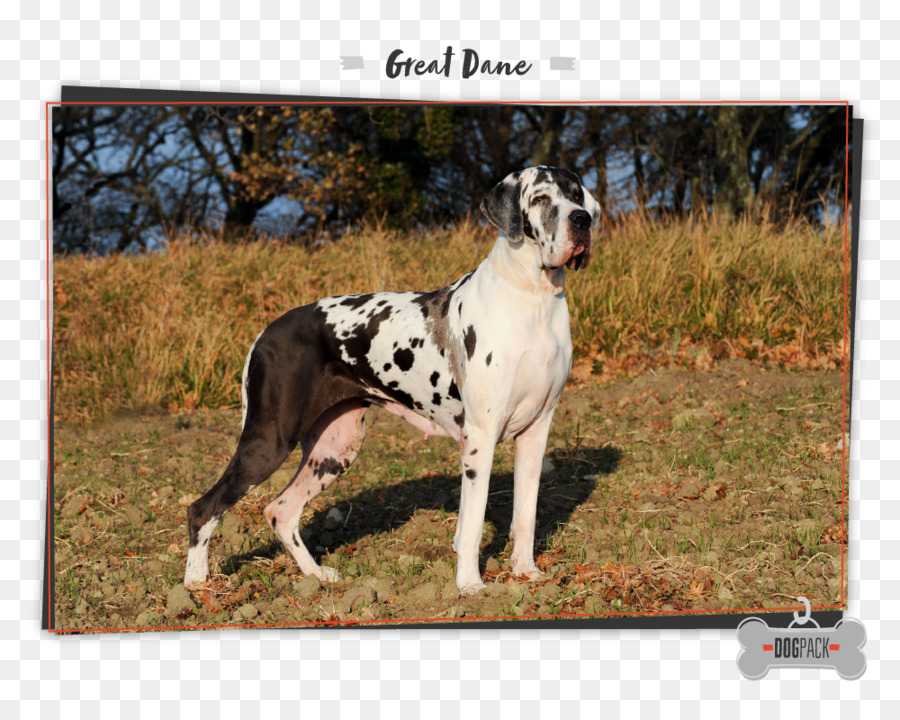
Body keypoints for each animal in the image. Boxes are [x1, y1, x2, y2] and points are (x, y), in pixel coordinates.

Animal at [185, 166, 596, 592]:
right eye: (541, 198)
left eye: (575, 194)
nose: (583, 220)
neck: (532, 298)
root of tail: (264, 334)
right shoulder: (479, 438)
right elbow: (472, 525)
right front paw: (470, 586)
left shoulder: (535, 432)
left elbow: (525, 514)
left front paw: (526, 572)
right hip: (268, 442)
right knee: (204, 507)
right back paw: (197, 584)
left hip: (334, 449)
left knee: (280, 511)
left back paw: (317, 575)